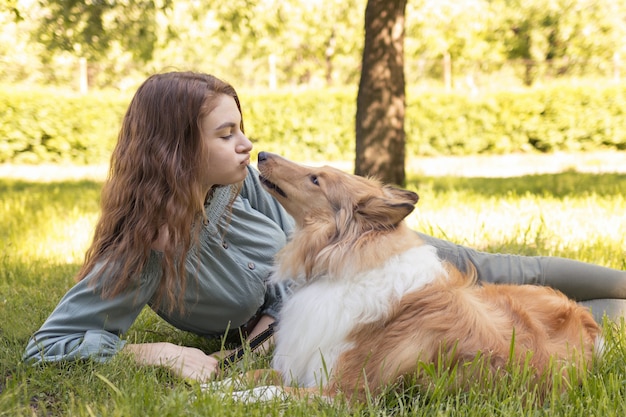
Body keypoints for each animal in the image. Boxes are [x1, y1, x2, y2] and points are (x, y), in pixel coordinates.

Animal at [244, 152, 600, 400]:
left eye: (316, 179)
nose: (260, 154)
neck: (342, 263)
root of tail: (584, 319)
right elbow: (254, 376)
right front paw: (229, 386)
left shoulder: (345, 393)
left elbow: (267, 392)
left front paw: (236, 396)